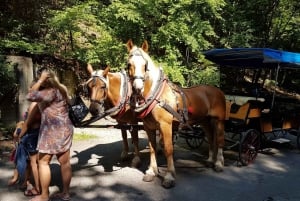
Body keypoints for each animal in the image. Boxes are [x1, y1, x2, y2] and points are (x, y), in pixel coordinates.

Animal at [125, 39, 226, 188]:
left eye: (145, 65)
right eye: (129, 64)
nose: (138, 88)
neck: (156, 95)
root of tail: (217, 91)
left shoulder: (165, 125)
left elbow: (168, 149)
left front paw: (169, 176)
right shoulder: (148, 126)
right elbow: (152, 148)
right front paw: (151, 172)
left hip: (218, 120)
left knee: (219, 139)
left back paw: (218, 163)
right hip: (204, 121)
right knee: (210, 136)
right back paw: (210, 160)